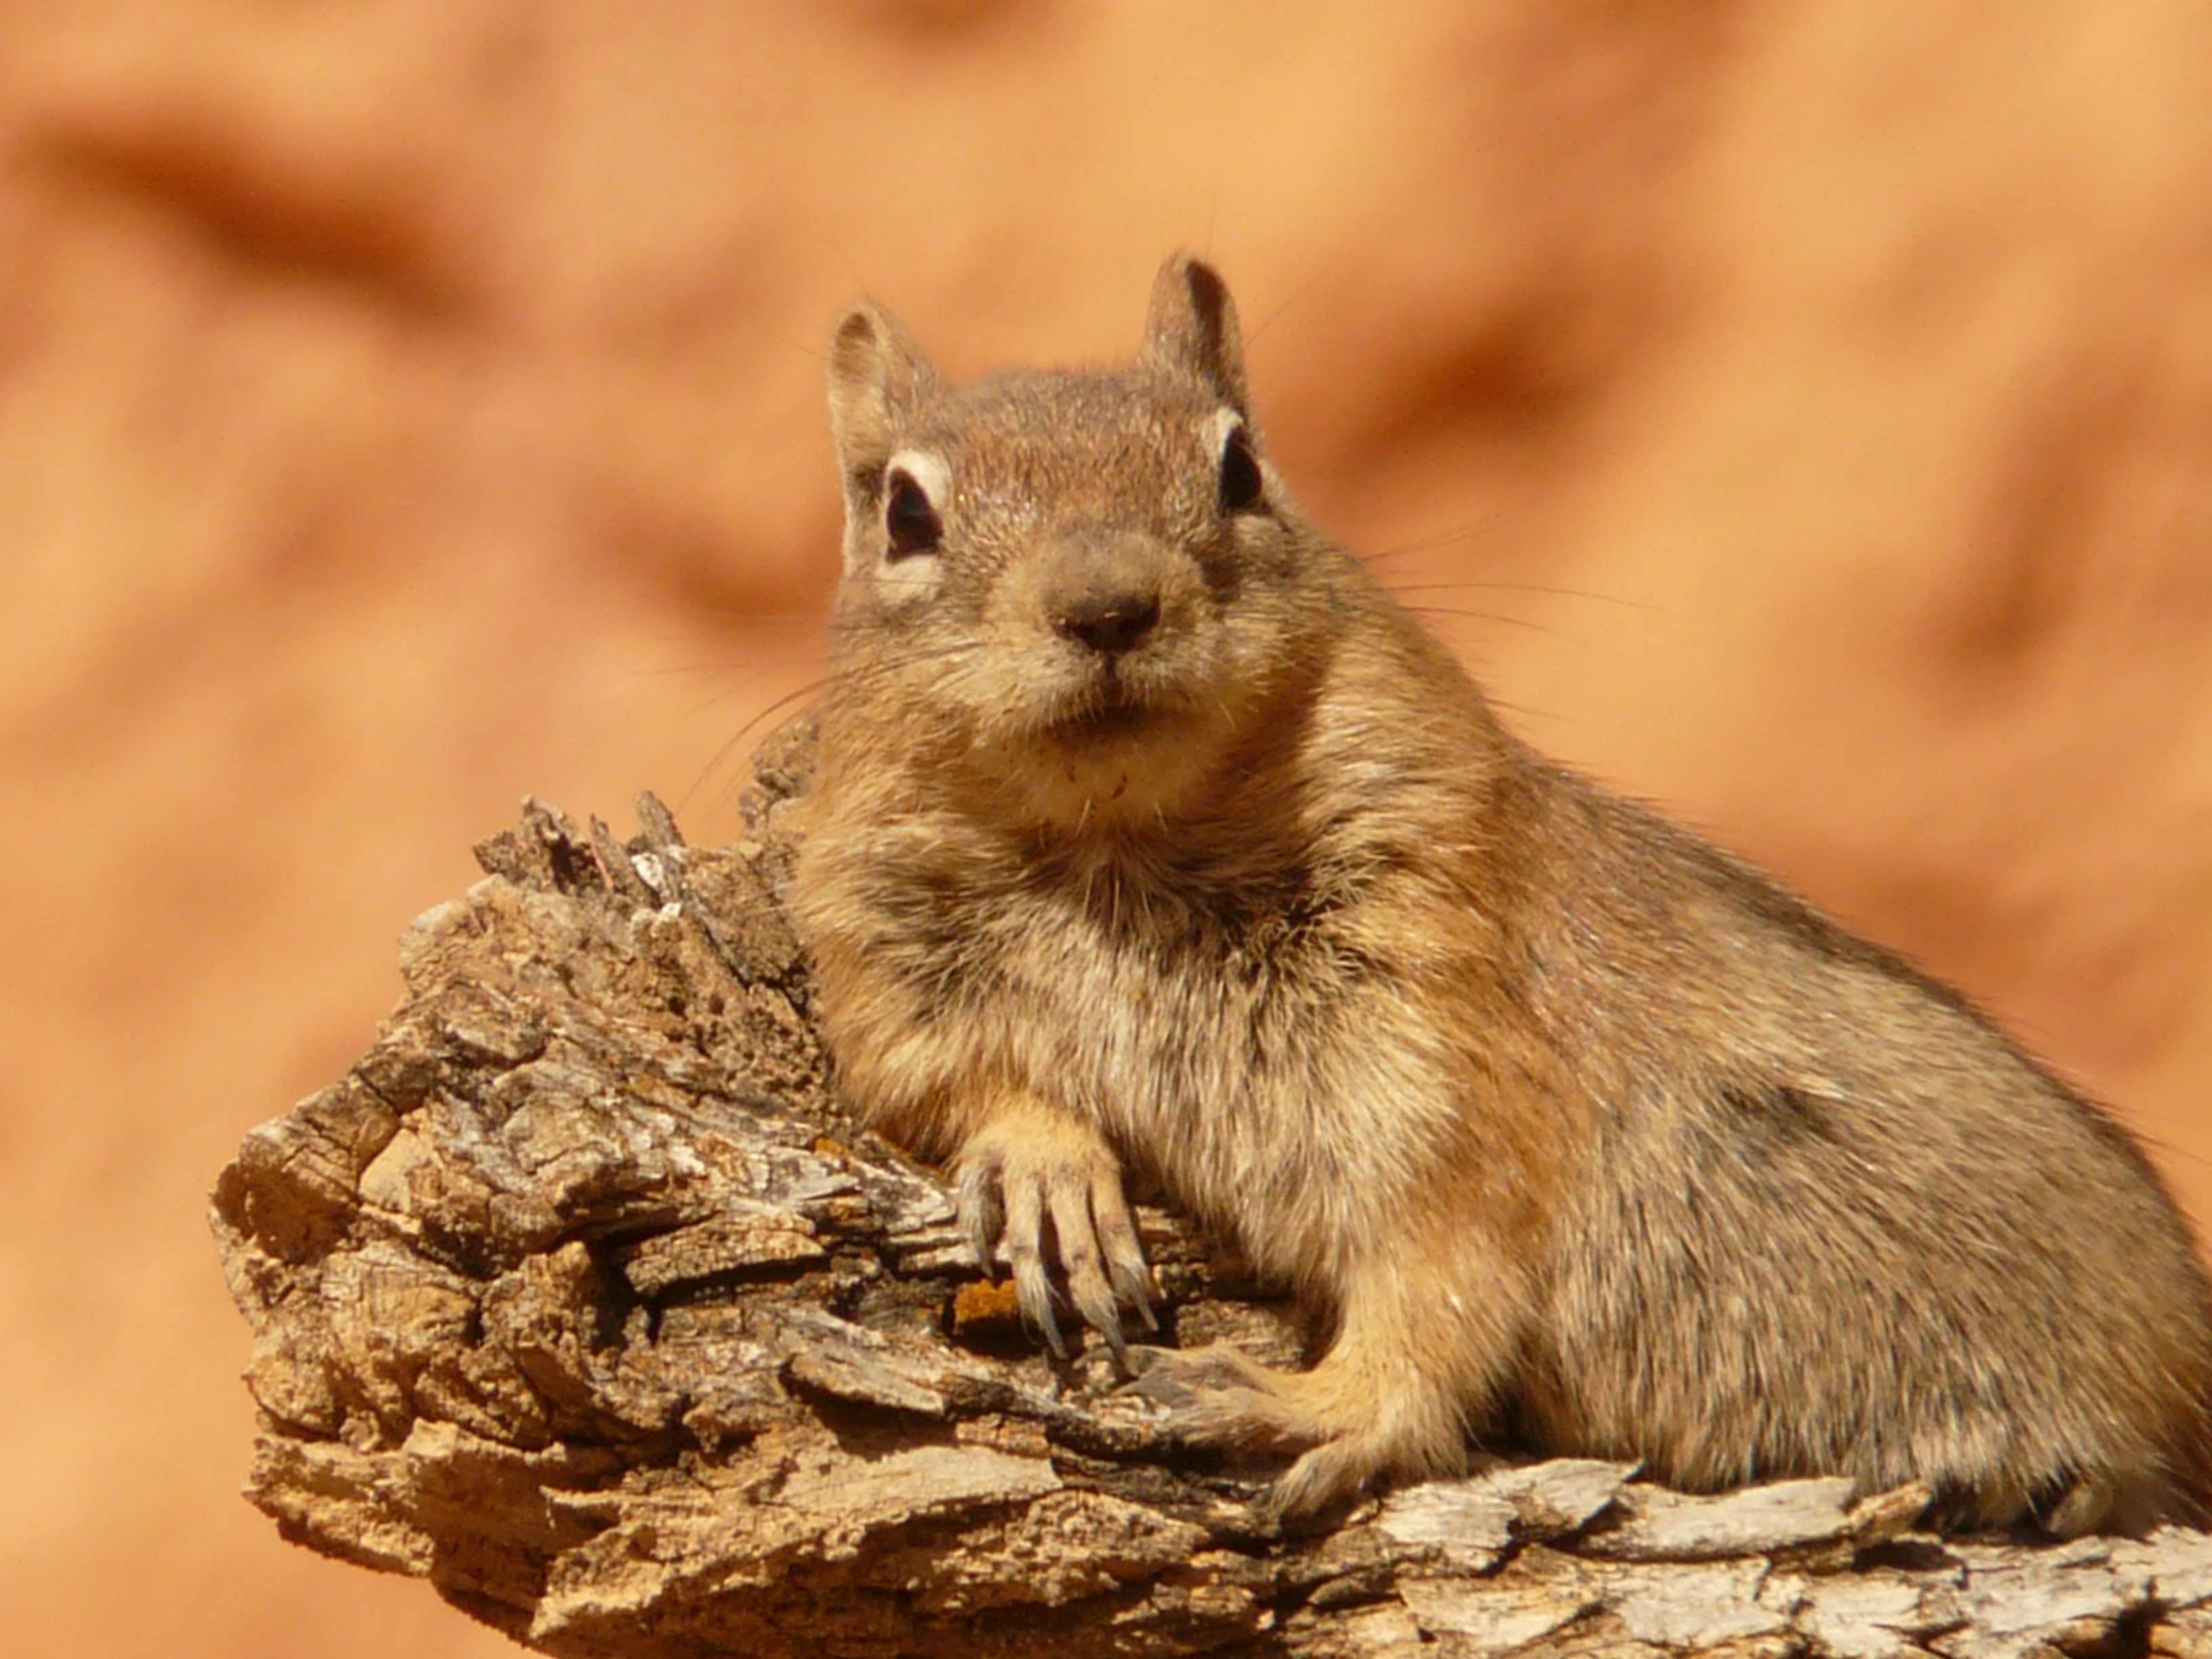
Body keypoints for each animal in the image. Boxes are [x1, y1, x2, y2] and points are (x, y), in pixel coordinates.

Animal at [783, 253, 2212, 1539]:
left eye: (1240, 468)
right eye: (902, 513)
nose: (1106, 605)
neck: (1119, 846)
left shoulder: (1443, 1043)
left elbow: (1439, 1274)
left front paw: (1314, 1404)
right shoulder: (880, 963)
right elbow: (945, 1081)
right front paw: (1047, 1167)